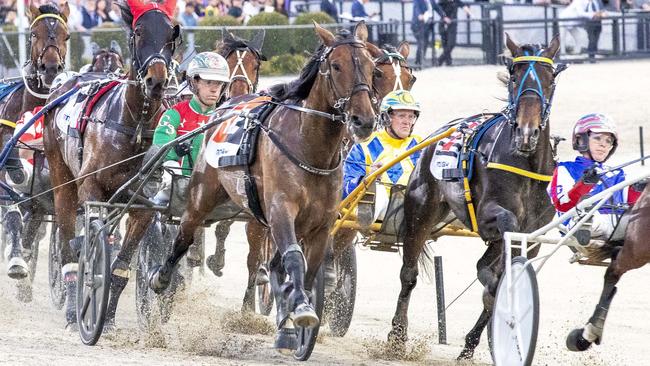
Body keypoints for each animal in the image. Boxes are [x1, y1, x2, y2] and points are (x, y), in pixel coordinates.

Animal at [43, 0, 177, 330]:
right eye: (138, 32)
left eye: (172, 35)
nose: (157, 80)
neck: (134, 125)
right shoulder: (91, 188)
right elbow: (89, 249)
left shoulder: (145, 204)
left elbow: (119, 267)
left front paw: (109, 318)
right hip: (61, 178)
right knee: (68, 243)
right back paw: (71, 310)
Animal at [147, 22, 378, 358]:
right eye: (336, 66)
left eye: (373, 67)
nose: (364, 121)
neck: (310, 149)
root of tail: (224, 111)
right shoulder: (281, 210)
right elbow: (293, 259)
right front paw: (299, 313)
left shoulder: (321, 224)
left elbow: (305, 271)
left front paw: (295, 323)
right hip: (202, 196)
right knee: (184, 235)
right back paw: (162, 278)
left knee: (270, 263)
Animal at [388, 34, 564, 360]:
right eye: (514, 77)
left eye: (550, 80)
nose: (527, 132)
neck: (525, 163)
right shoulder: (488, 216)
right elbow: (496, 263)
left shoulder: (533, 236)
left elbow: (501, 273)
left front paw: (476, 341)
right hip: (421, 209)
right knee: (408, 274)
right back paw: (397, 335)